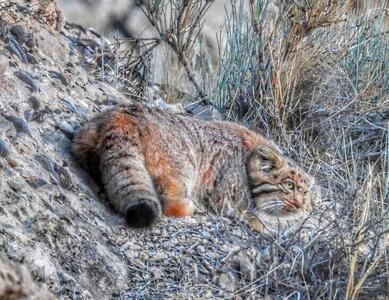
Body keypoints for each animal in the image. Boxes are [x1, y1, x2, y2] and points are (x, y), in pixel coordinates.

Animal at [71, 103, 312, 227]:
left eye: (305, 192)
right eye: (289, 186)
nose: (301, 204)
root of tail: (123, 117)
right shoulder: (229, 198)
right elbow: (255, 220)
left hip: (84, 141)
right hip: (182, 169)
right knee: (170, 205)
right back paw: (192, 206)